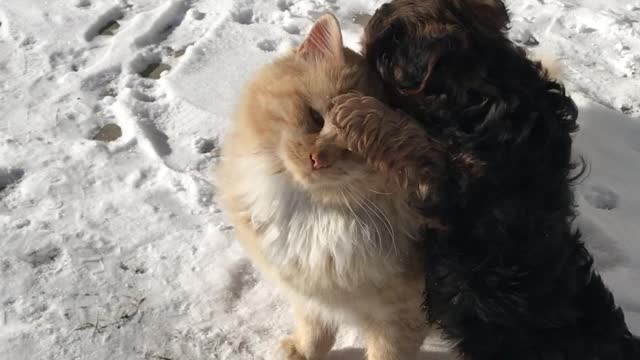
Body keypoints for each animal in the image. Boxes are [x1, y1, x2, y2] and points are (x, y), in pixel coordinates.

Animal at [218, 14, 432, 360]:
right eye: (316, 118)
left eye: (361, 150)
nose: (317, 159)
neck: (314, 210)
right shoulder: (308, 298)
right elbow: (315, 331)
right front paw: (301, 351)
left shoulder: (402, 317)